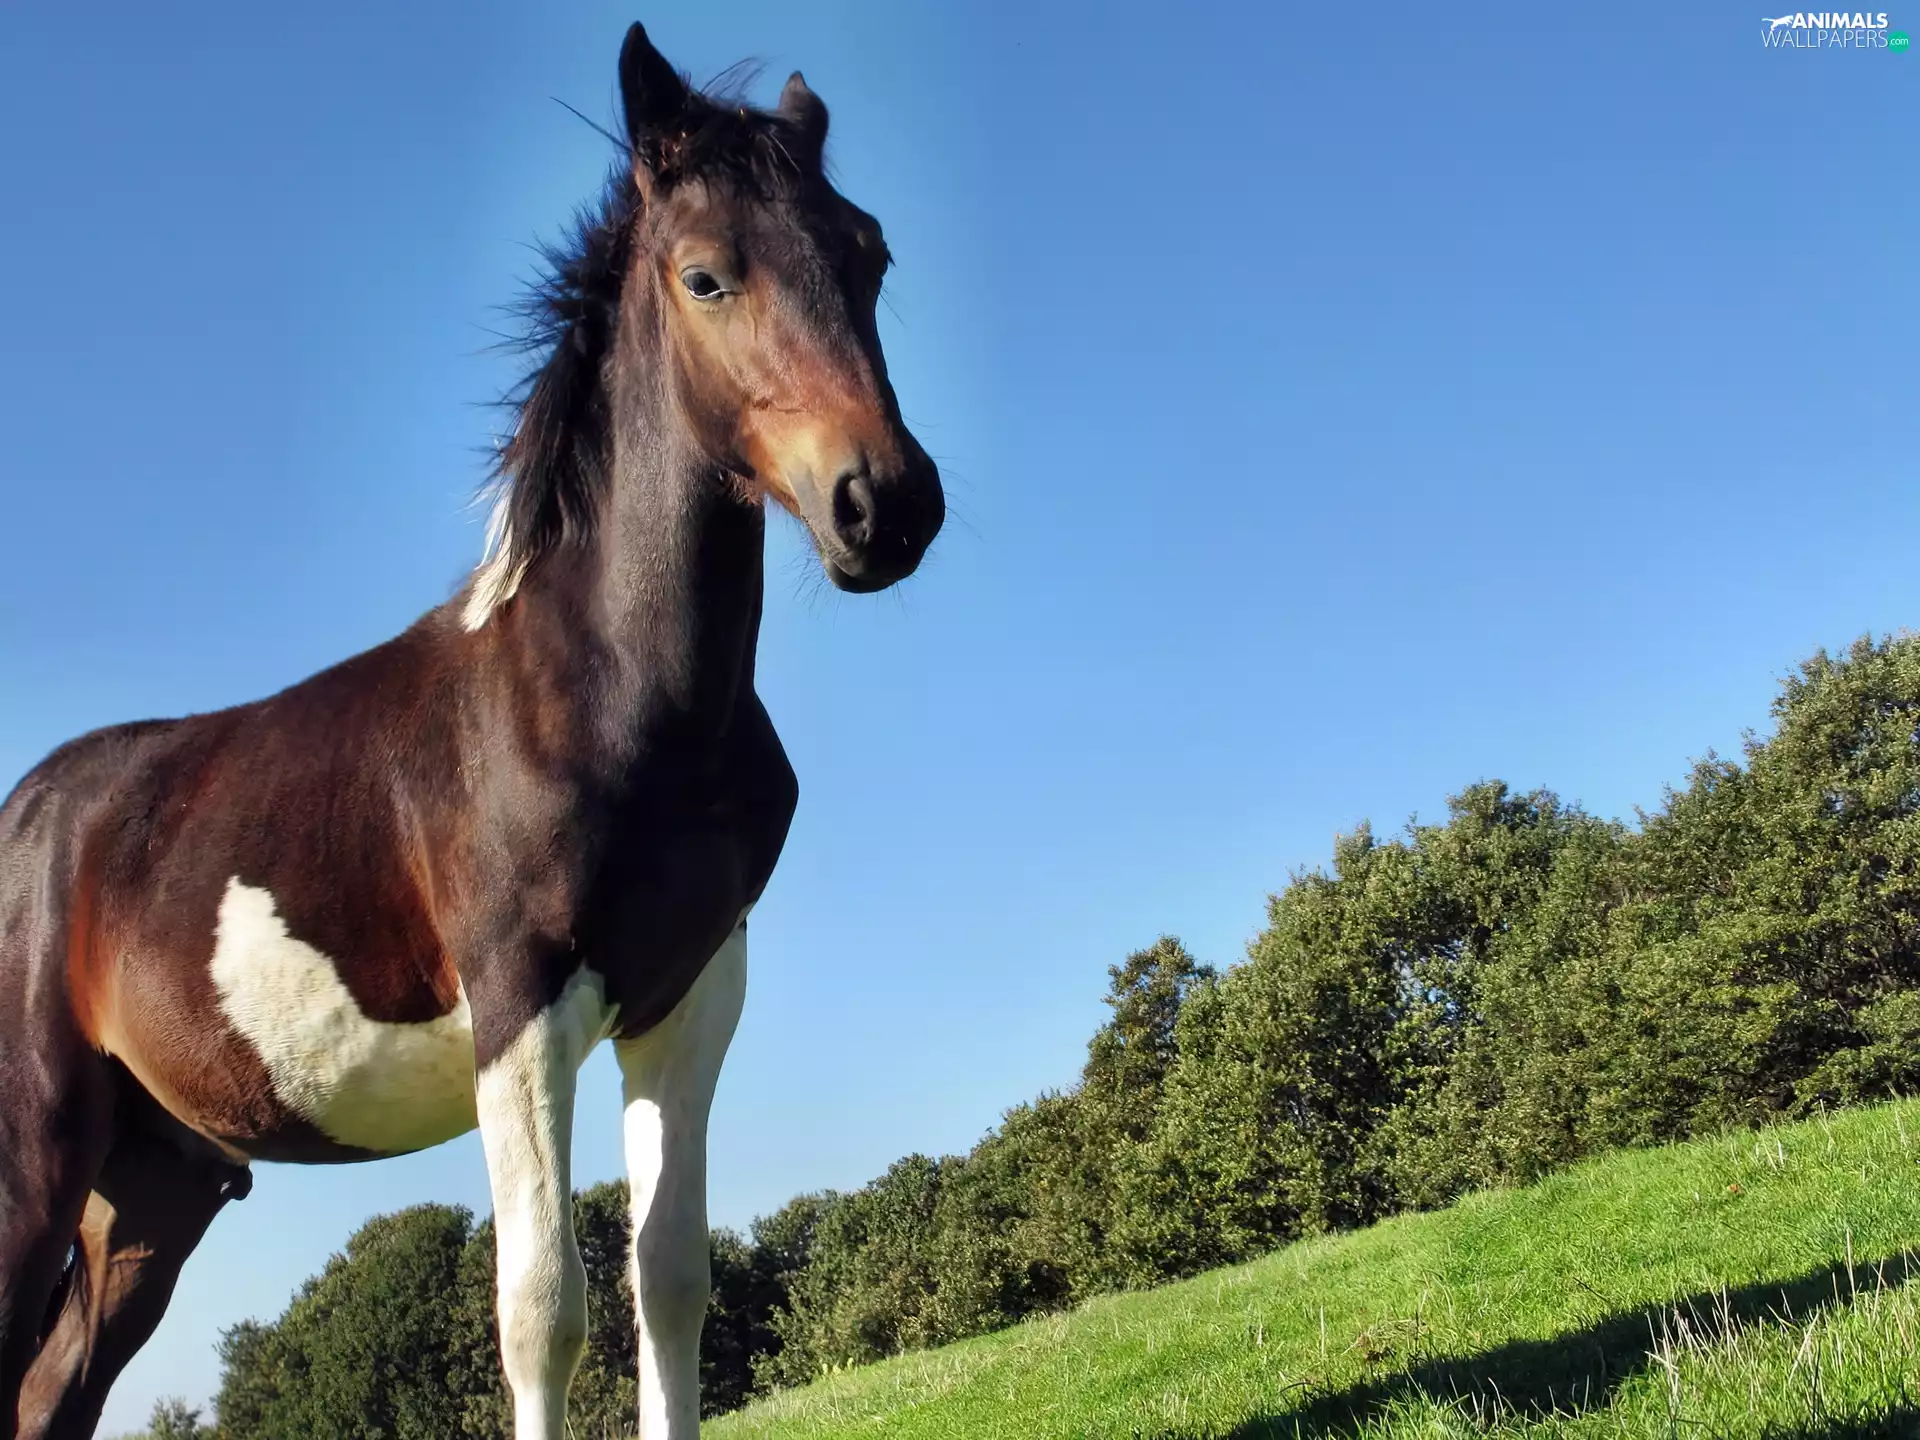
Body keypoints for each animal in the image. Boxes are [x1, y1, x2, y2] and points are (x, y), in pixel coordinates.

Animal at [0, 22, 943, 1439]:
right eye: (705, 276)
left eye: (870, 252)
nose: (883, 506)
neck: (602, 698)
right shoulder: (523, 1009)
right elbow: (541, 1308)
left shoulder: (689, 1000)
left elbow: (670, 1280)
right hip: (35, 1157)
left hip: (153, 1187)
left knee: (52, 1389)